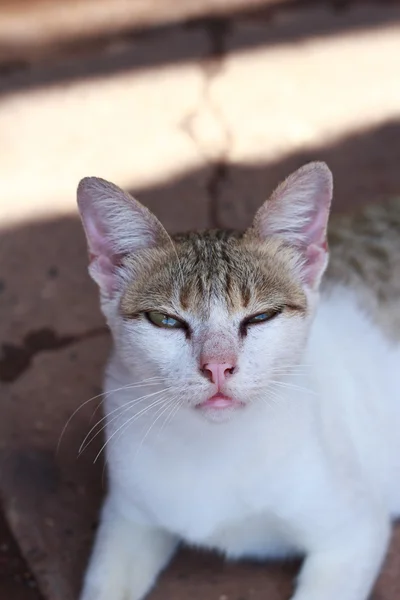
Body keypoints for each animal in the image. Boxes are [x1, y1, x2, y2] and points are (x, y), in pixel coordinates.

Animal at [75, 163, 400, 600]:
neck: (216, 446)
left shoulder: (354, 533)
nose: (218, 366)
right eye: (166, 321)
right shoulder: (129, 517)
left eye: (261, 317)